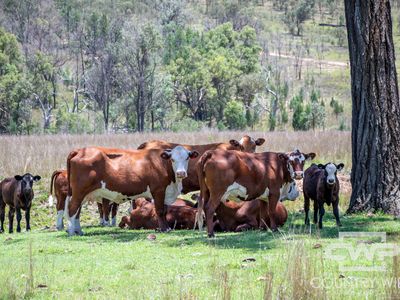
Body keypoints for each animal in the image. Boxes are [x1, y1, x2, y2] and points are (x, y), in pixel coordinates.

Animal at [64, 145, 200, 234]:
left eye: (187, 158)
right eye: (172, 159)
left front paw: (167, 227)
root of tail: (80, 150)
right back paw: (71, 231)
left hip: (83, 193)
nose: (181, 173)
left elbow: (165, 210)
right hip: (79, 191)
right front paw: (164, 229)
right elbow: (160, 211)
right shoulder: (158, 190)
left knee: (77, 211)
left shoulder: (166, 193)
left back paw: (78, 230)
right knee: (72, 208)